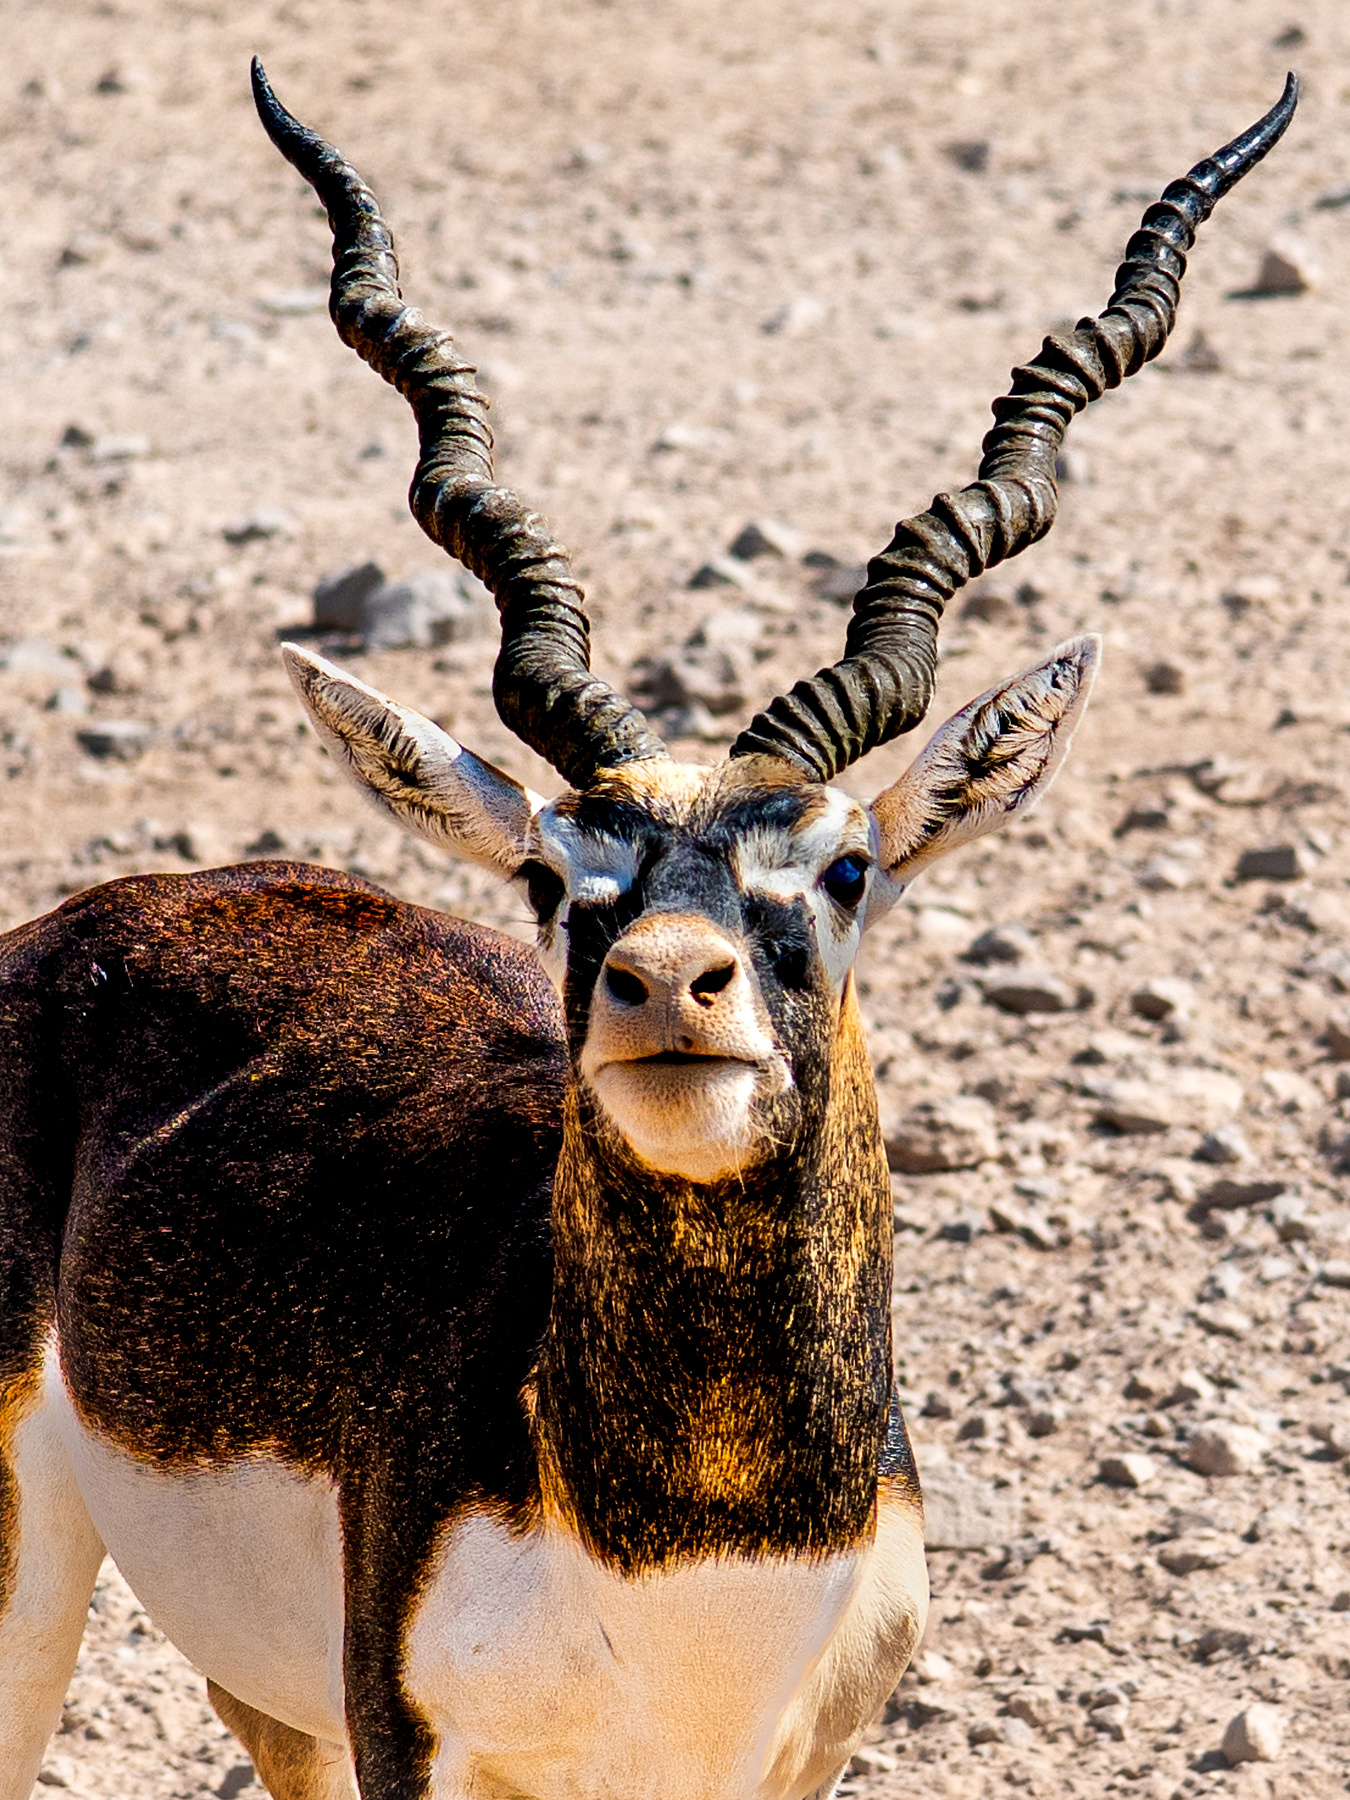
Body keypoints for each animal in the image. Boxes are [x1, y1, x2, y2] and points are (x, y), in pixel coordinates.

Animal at [0, 61, 1296, 1800]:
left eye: (840, 870)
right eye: (558, 880)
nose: (667, 982)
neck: (685, 1565)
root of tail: (106, 916)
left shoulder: (787, 1764)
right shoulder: (416, 1745)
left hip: (271, 1696)